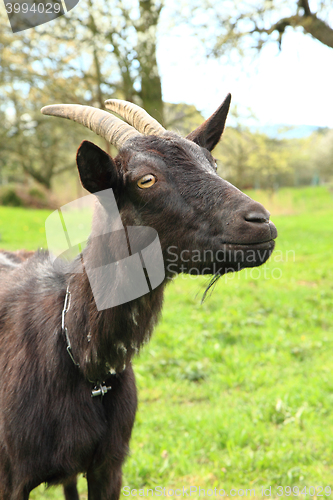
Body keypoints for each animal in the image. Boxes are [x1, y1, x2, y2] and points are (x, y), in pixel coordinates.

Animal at [0, 94, 276, 500]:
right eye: (146, 179)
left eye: (212, 163)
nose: (260, 221)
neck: (79, 354)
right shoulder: (11, 478)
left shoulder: (109, 467)